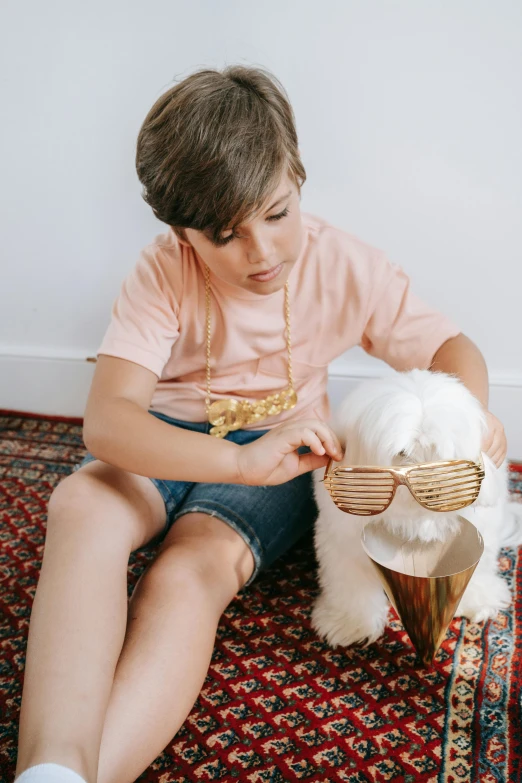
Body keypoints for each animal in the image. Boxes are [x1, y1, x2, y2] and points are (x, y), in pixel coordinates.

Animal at [310, 370, 516, 648]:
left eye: (445, 452)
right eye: (402, 452)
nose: (433, 488)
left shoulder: (482, 528)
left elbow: (479, 565)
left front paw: (477, 599)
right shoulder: (343, 539)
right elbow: (350, 582)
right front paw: (350, 623)